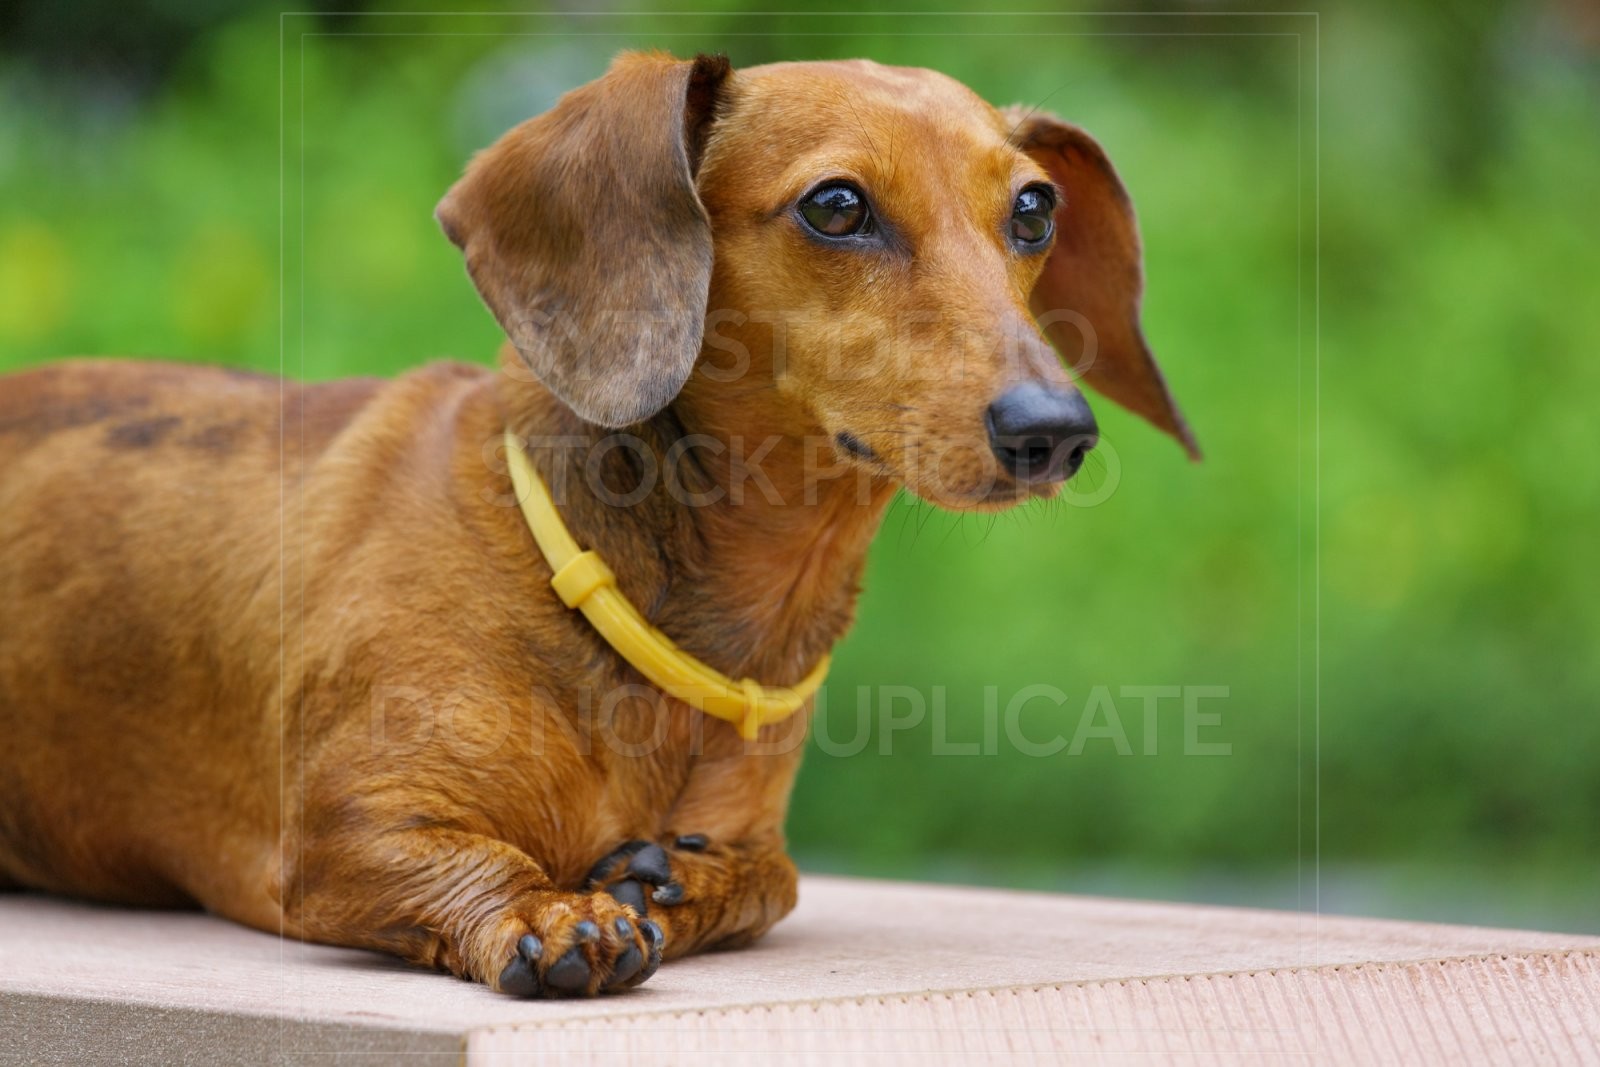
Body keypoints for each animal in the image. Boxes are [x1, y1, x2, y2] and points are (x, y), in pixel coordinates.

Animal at [0, 51, 1196, 1004]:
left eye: (1033, 209)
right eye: (837, 205)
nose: (1054, 431)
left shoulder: (758, 834)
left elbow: (775, 878)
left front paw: (684, 877)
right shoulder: (342, 831)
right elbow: (465, 863)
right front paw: (549, 911)